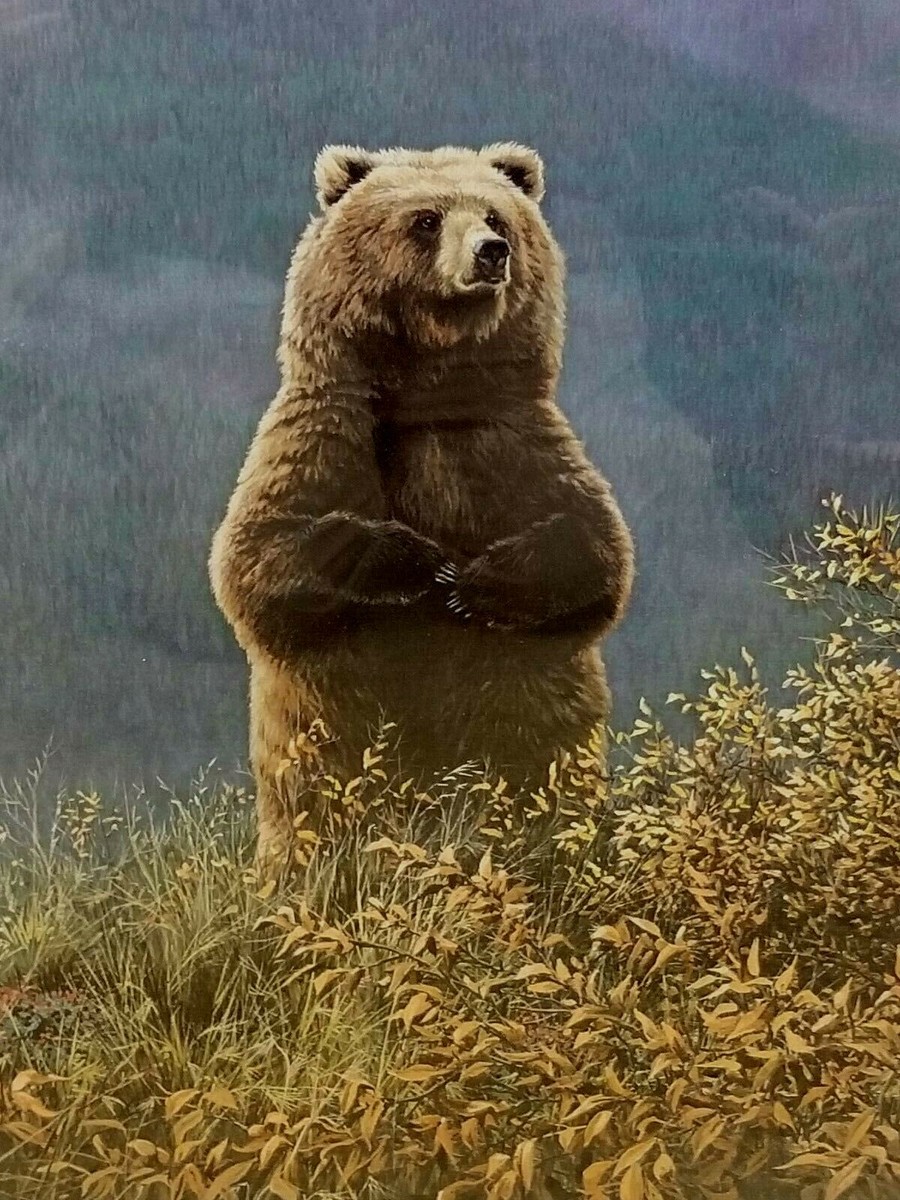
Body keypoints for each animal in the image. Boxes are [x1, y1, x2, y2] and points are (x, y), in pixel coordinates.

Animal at [209, 142, 634, 876]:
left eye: (495, 215)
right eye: (427, 219)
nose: (492, 252)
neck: (429, 387)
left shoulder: (510, 441)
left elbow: (591, 548)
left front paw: (479, 581)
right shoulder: (327, 432)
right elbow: (260, 559)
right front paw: (416, 560)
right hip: (321, 755)